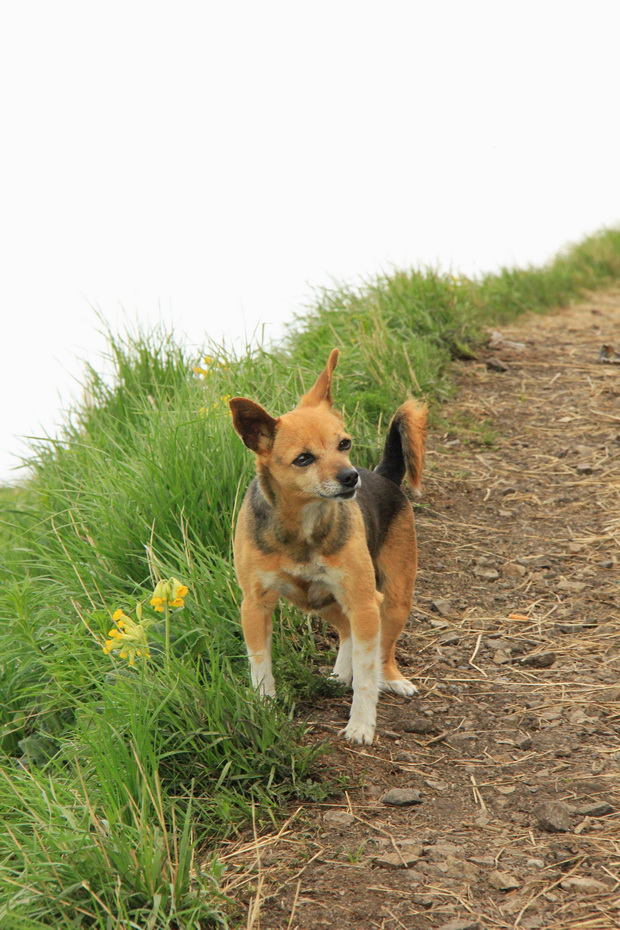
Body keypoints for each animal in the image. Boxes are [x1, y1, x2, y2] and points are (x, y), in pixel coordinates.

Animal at [228, 352, 426, 744]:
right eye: (303, 459)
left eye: (344, 444)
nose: (350, 477)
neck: (303, 525)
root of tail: (383, 473)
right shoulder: (254, 606)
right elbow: (260, 666)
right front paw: (264, 710)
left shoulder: (364, 603)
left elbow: (366, 675)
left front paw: (361, 724)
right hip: (320, 600)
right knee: (347, 631)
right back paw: (340, 673)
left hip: (392, 599)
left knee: (383, 649)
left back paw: (392, 679)